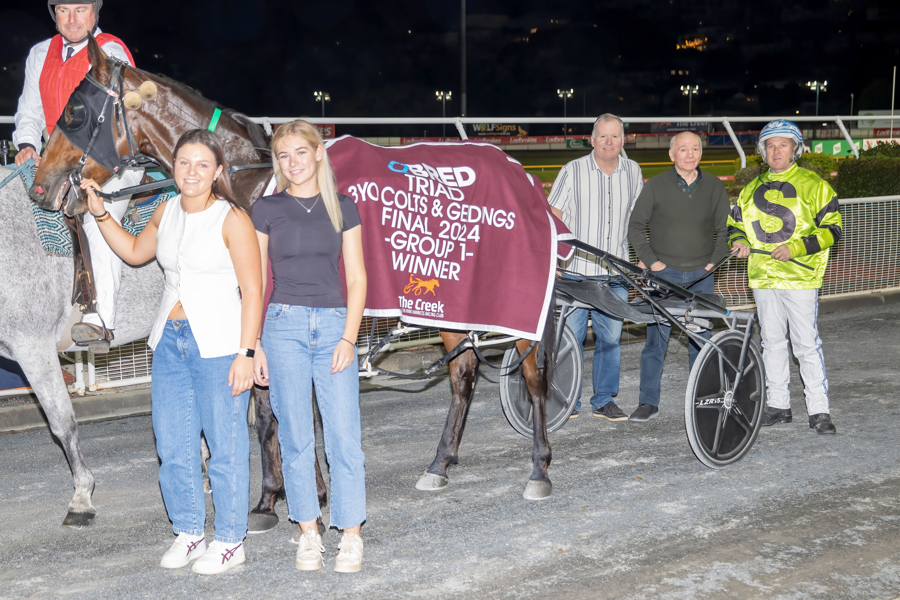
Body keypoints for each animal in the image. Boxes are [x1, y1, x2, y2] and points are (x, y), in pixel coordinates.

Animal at [25, 34, 557, 533]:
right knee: (463, 373)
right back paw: (440, 463)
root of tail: (526, 177)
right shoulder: (256, 324)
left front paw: (309, 496)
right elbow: (267, 414)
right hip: (448, 303)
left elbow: (292, 407)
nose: (39, 185)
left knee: (533, 376)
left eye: (75, 110)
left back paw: (540, 466)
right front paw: (270, 498)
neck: (256, 184)